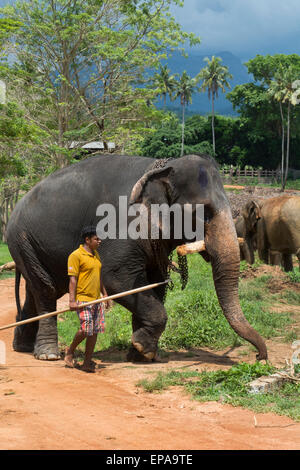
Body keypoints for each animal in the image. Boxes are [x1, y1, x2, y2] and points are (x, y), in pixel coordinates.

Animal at [6, 153, 268, 360]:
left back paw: (22, 347)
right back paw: (47, 354)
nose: (259, 357)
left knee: (38, 288)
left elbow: (154, 283)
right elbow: (116, 278)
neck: (162, 167)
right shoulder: (122, 225)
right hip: (21, 239)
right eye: (202, 213)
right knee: (46, 290)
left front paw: (140, 353)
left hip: (30, 245)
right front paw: (144, 349)